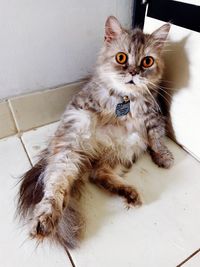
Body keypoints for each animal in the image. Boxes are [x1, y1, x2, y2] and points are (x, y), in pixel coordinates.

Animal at [17, 15, 173, 250]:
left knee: (98, 174)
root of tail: (94, 152)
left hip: (129, 145)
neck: (126, 100)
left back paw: (129, 193)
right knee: (55, 188)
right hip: (68, 152)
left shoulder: (154, 119)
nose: (133, 73)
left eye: (147, 61)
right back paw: (45, 221)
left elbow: (157, 140)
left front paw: (163, 157)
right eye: (121, 57)